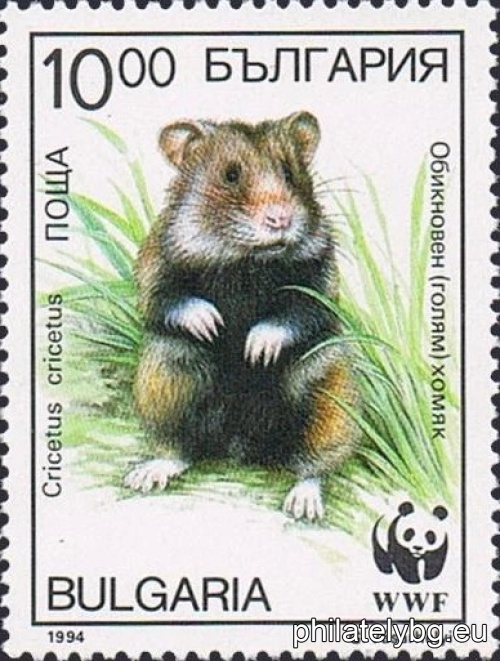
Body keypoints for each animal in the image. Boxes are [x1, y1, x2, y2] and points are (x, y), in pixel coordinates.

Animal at [125, 111, 361, 521]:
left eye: (289, 173)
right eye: (231, 175)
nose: (280, 219)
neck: (246, 261)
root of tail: (241, 447)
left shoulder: (320, 280)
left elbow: (300, 312)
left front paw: (256, 349)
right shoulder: (156, 263)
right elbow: (165, 298)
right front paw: (212, 324)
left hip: (330, 395)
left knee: (314, 461)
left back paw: (304, 503)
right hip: (165, 376)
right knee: (180, 446)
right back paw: (147, 475)